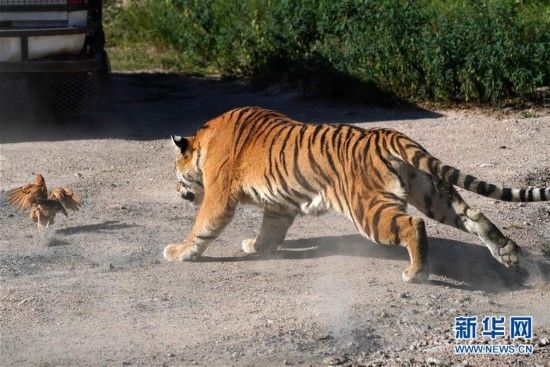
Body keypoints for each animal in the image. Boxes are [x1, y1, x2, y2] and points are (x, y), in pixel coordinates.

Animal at [165, 105, 550, 284]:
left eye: (177, 174)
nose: (178, 190)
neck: (204, 140)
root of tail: (391, 134)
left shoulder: (219, 196)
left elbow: (202, 226)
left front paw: (179, 252)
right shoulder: (278, 205)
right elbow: (269, 231)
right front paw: (256, 247)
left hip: (369, 210)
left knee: (413, 225)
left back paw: (416, 273)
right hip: (433, 194)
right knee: (474, 216)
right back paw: (507, 254)